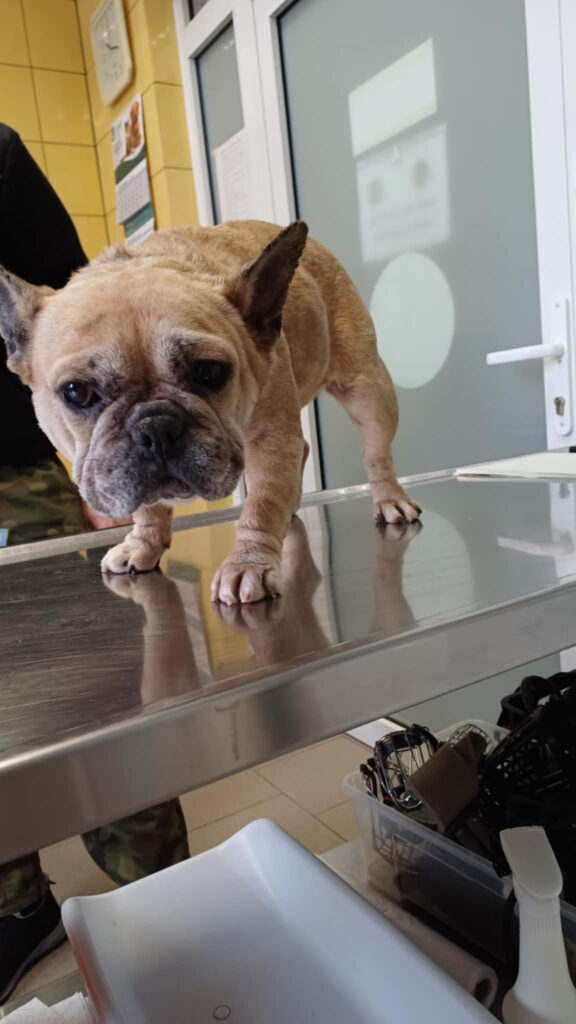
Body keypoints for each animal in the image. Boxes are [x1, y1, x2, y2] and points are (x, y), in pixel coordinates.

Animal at [0, 220, 420, 605]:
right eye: (77, 392)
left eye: (209, 372)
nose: (156, 426)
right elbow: (149, 509)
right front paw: (143, 543)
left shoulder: (272, 440)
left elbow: (261, 504)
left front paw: (248, 563)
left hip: (367, 389)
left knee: (375, 453)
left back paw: (389, 498)